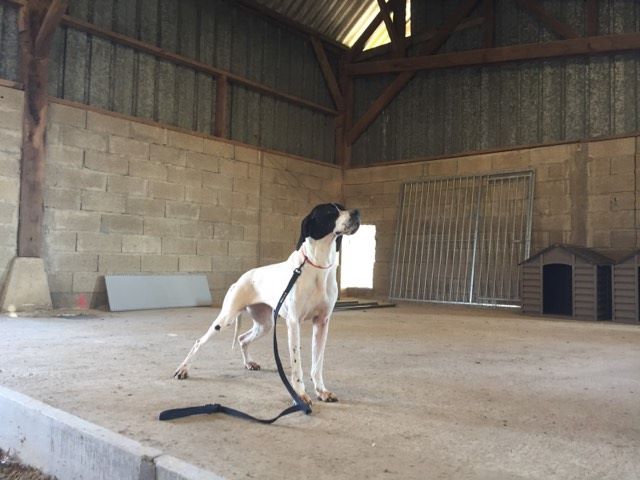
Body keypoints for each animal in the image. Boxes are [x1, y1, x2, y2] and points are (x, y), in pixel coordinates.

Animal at [173, 203, 361, 404]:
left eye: (343, 207)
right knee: (199, 342)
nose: (357, 212)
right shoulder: (294, 323)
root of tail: (239, 280)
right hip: (226, 319)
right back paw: (183, 369)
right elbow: (297, 365)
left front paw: (321, 391)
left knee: (242, 338)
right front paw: (300, 394)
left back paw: (249, 363)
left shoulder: (322, 322)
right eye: (330, 212)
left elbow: (317, 363)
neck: (317, 265)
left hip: (265, 324)